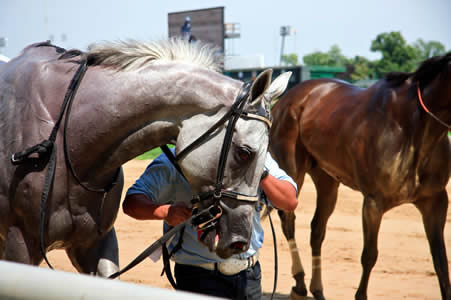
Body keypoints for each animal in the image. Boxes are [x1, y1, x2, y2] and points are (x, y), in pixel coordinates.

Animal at [270, 52, 450, 298]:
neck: (413, 128)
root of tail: (289, 97)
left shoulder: (435, 202)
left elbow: (441, 263)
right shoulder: (374, 202)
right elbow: (370, 255)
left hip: (327, 180)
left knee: (317, 230)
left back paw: (318, 289)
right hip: (292, 171)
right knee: (288, 220)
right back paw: (299, 283)